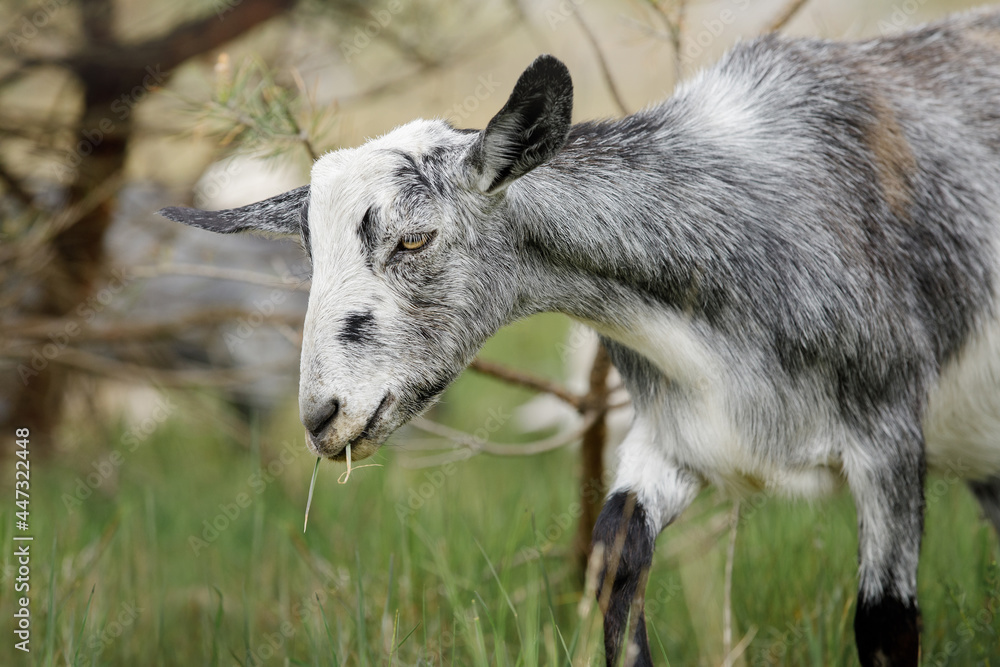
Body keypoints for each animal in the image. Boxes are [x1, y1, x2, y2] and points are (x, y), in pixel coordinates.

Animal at [160, 9, 1000, 665]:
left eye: (413, 238)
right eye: (307, 249)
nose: (322, 416)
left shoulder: (888, 439)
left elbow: (885, 622)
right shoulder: (677, 435)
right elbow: (614, 560)